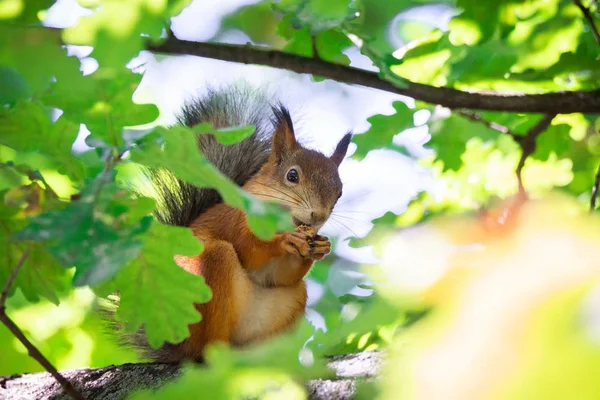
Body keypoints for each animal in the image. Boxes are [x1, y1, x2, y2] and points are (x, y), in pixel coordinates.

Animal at [114, 86, 350, 360]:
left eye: (340, 192)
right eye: (292, 175)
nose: (319, 216)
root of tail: (173, 338)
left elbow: (283, 275)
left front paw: (321, 247)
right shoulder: (234, 220)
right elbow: (249, 248)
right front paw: (285, 241)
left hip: (292, 300)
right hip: (207, 279)